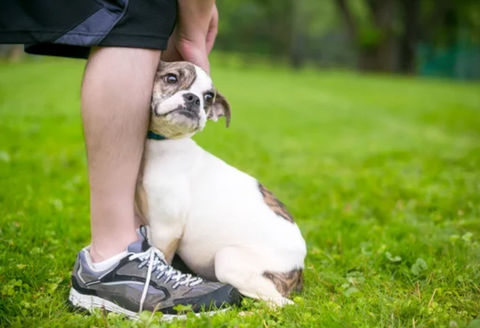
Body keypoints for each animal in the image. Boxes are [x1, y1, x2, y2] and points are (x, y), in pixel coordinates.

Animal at [136, 62, 308, 308]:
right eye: (171, 78)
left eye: (208, 97)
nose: (193, 99)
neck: (165, 144)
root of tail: (299, 267)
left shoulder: (165, 229)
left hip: (228, 260)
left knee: (280, 304)